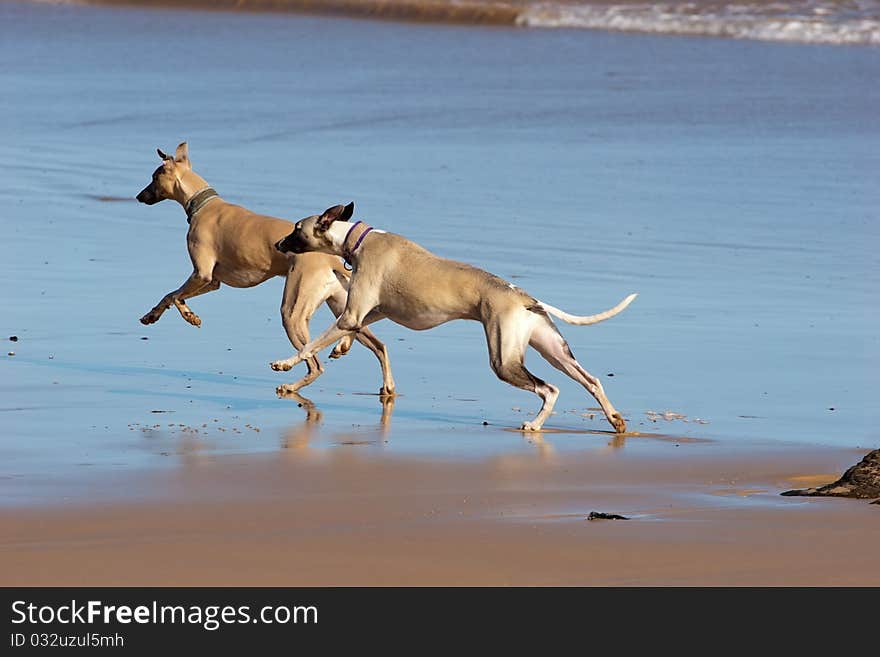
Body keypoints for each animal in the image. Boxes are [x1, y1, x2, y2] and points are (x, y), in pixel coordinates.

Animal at [135, 144, 396, 398]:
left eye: (154, 177)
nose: (138, 196)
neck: (204, 206)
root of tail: (332, 259)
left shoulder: (202, 274)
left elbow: (175, 297)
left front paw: (188, 316)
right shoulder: (212, 282)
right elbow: (171, 296)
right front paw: (155, 315)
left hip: (293, 313)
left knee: (315, 365)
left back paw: (290, 385)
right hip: (345, 310)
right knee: (378, 345)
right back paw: (381, 382)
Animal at [272, 202, 636, 434]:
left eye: (296, 229)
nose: (277, 244)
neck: (359, 239)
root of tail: (525, 298)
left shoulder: (352, 313)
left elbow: (311, 345)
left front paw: (285, 364)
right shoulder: (370, 312)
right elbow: (352, 330)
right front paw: (342, 347)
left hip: (504, 360)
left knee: (549, 389)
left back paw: (534, 425)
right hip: (555, 351)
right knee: (591, 380)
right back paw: (615, 420)